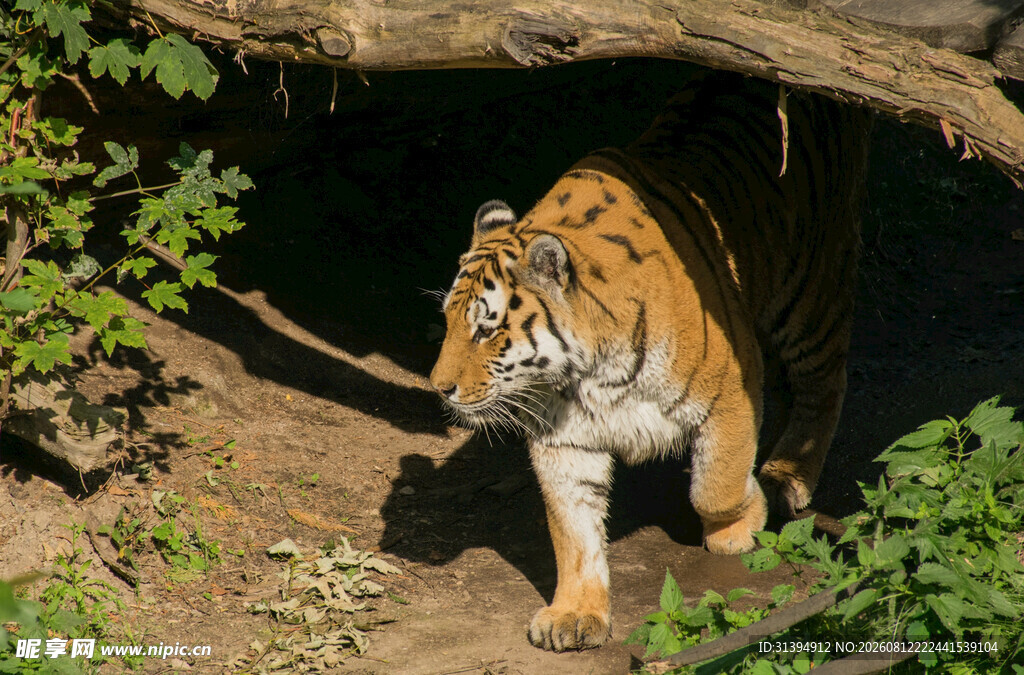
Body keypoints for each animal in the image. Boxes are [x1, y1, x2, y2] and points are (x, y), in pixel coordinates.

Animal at [429, 72, 871, 652]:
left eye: (486, 329)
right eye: (448, 321)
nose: (438, 387)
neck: (585, 375)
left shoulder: (731, 389)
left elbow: (715, 484)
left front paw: (740, 525)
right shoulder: (565, 440)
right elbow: (573, 532)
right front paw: (574, 613)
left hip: (809, 288)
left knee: (825, 380)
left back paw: (785, 476)